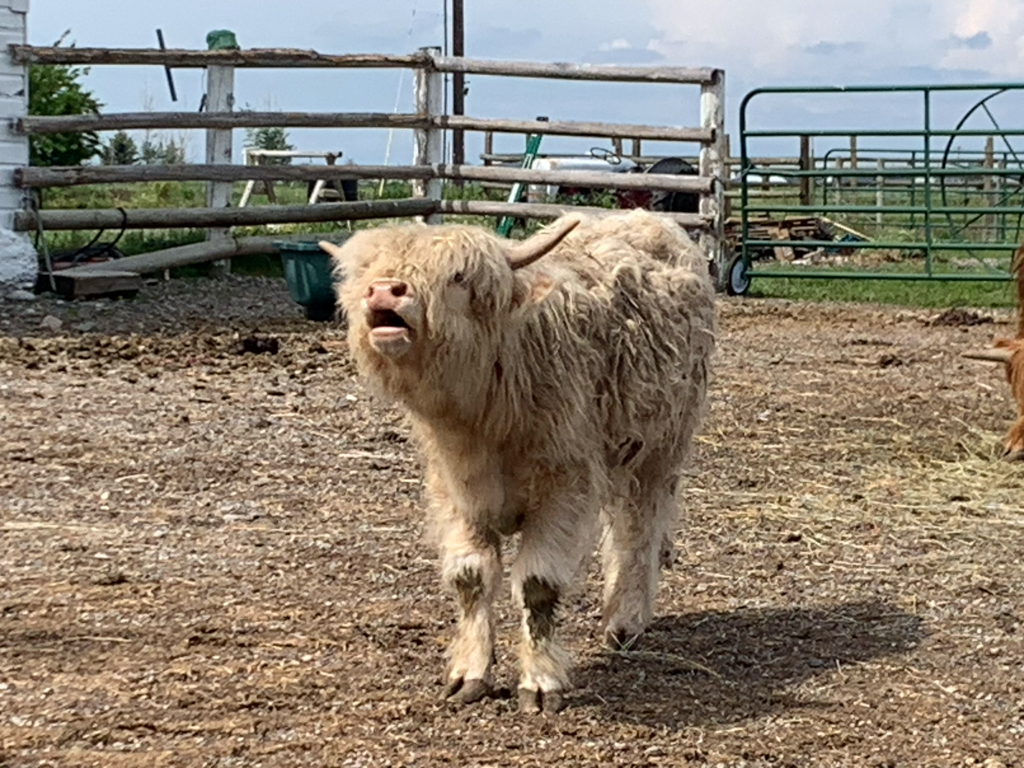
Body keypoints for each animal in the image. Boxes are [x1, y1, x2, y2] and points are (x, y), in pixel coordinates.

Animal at [317, 210, 712, 716]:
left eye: (458, 276)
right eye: (365, 272)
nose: (386, 291)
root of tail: (647, 219)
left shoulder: (564, 485)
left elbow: (538, 586)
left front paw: (541, 683)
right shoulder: (456, 491)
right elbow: (470, 578)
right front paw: (470, 674)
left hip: (661, 449)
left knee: (640, 531)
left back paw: (626, 621)